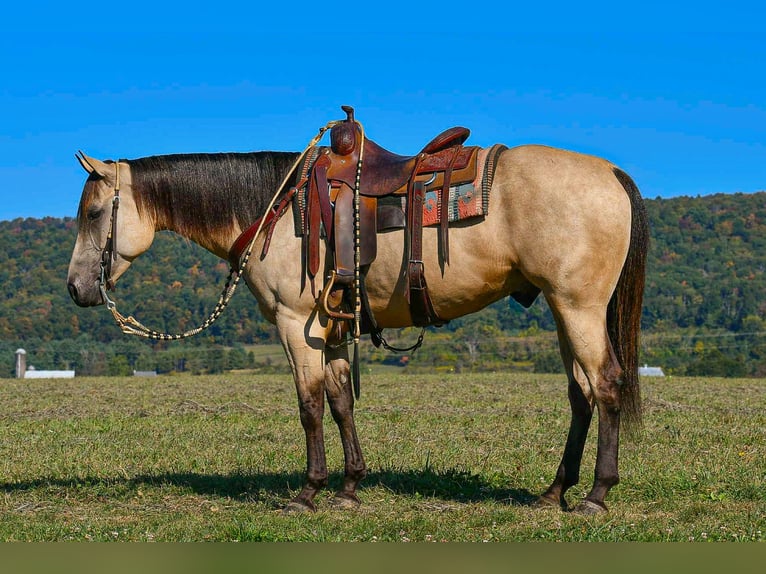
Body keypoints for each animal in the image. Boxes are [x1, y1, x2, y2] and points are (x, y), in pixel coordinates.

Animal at [66, 123, 648, 515]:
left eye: (93, 213)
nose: (76, 288)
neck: (276, 209)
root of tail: (610, 172)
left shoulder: (295, 324)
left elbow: (309, 406)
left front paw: (308, 491)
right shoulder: (331, 327)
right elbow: (341, 401)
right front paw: (349, 486)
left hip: (578, 307)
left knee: (607, 384)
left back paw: (596, 495)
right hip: (562, 308)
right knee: (580, 394)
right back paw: (554, 491)